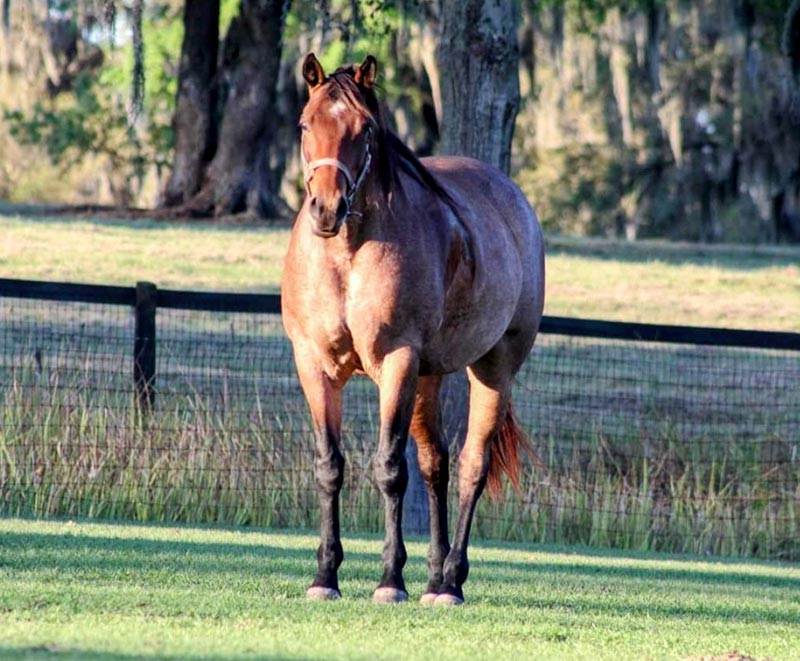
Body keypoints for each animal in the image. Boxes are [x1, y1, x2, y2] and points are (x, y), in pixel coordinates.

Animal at [278, 54, 548, 604]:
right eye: (304, 124)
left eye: (364, 129)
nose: (327, 208)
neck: (347, 256)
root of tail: (513, 198)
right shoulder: (314, 367)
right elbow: (330, 466)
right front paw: (325, 575)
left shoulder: (397, 364)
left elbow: (389, 468)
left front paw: (389, 579)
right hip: (430, 378)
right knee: (435, 464)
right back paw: (435, 575)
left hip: (492, 369)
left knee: (470, 466)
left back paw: (451, 581)